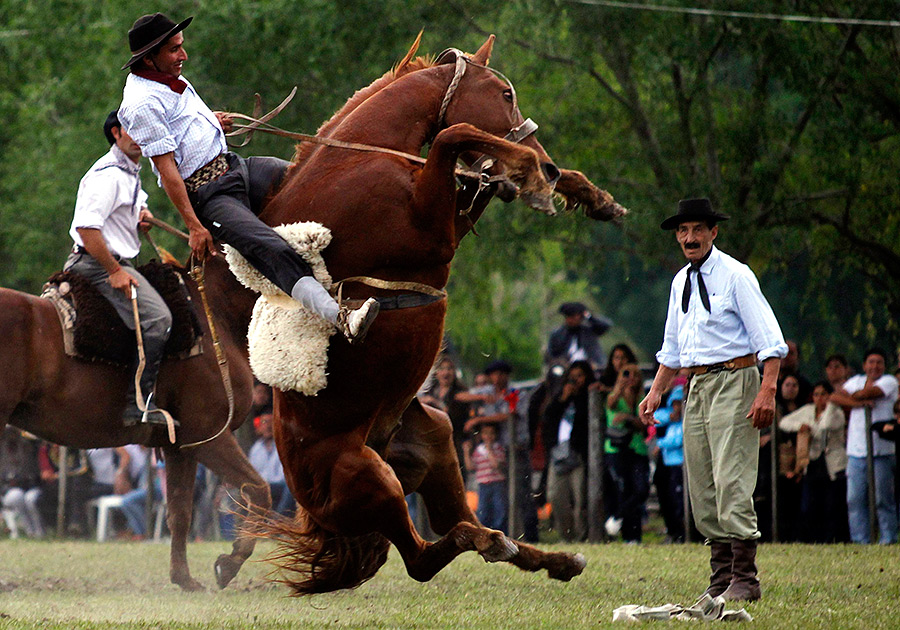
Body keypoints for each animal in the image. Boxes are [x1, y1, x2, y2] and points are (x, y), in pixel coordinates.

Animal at [0, 252, 268, 592]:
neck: (214, 314)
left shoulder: (180, 446)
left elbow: (179, 511)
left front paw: (184, 579)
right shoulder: (208, 435)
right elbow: (257, 488)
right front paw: (230, 563)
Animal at [246, 34, 624, 596]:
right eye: (505, 93)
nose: (548, 164)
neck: (359, 162)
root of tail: (307, 504)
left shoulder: (448, 223)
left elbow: (470, 166)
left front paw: (583, 192)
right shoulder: (432, 233)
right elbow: (454, 135)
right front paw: (531, 175)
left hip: (437, 443)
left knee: (451, 522)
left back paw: (550, 557)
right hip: (371, 478)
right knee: (423, 555)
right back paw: (493, 541)